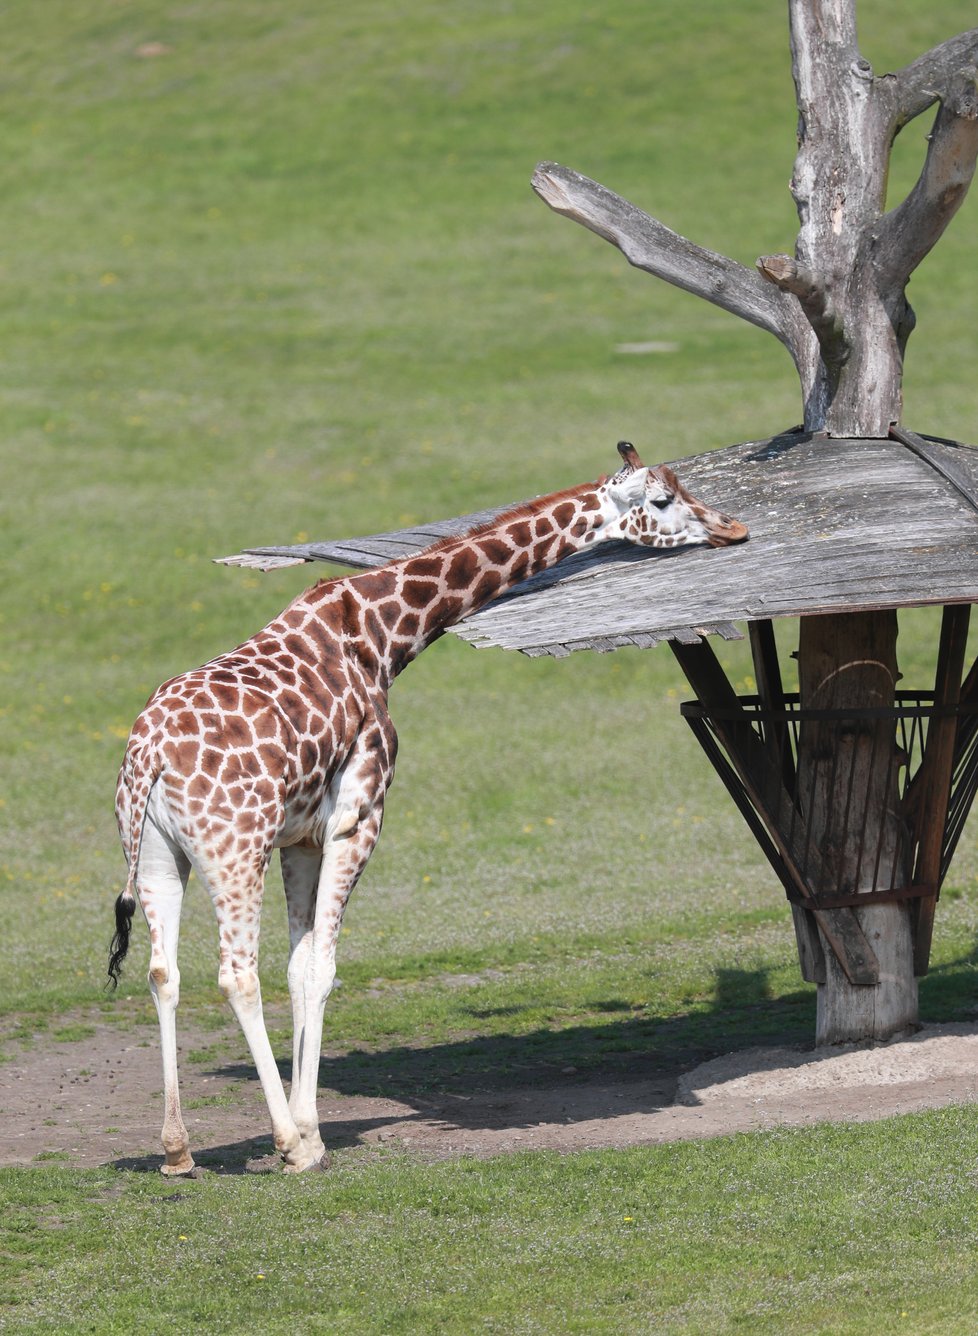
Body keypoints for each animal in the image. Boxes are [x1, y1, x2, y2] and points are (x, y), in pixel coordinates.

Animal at [108, 443, 748, 1175]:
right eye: (664, 499)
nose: (733, 528)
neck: (382, 635)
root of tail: (149, 755)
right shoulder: (360, 817)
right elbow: (322, 968)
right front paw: (310, 1136)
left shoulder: (301, 838)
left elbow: (299, 967)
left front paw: (309, 1123)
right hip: (233, 848)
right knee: (235, 975)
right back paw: (283, 1143)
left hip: (156, 853)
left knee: (164, 971)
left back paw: (177, 1149)